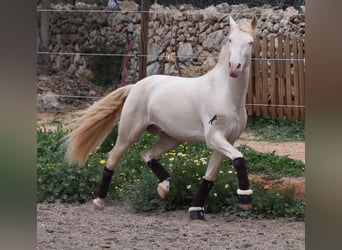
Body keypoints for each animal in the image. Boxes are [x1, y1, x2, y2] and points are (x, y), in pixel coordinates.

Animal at [65, 15, 256, 220]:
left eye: (250, 42)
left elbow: (210, 176)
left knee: (146, 154)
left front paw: (196, 211)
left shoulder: (227, 140)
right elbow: (239, 158)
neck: (225, 94)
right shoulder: (214, 138)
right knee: (112, 159)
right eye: (230, 40)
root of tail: (135, 86)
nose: (234, 68)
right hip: (129, 133)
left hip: (171, 138)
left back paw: (164, 188)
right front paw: (245, 199)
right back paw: (98, 203)